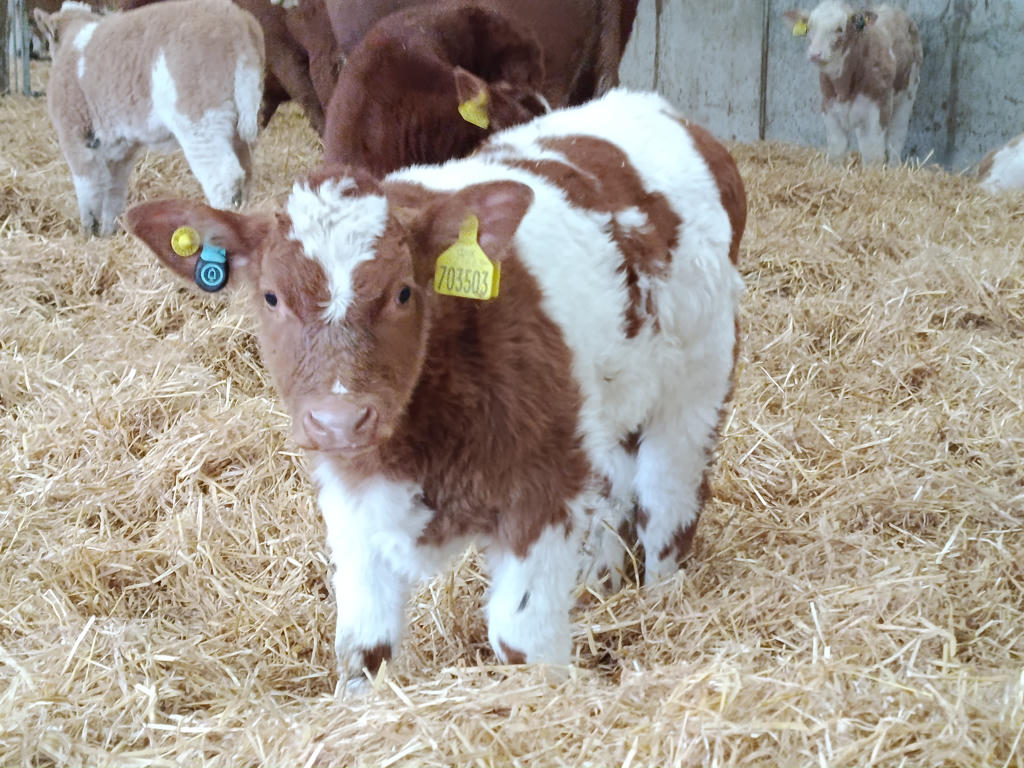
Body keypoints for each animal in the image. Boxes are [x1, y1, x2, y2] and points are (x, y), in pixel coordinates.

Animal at [35, 0, 264, 236]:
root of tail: (238, 22)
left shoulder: (76, 137)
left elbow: (88, 186)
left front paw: (90, 231)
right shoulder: (120, 149)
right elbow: (113, 189)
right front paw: (109, 232)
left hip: (200, 120)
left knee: (224, 176)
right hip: (237, 123)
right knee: (245, 173)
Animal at [124, 89, 745, 684]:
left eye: (403, 292)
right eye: (272, 297)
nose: (340, 420)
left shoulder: (545, 487)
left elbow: (522, 640)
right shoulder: (352, 498)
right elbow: (364, 648)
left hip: (697, 382)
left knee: (668, 502)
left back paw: (661, 599)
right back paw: (602, 584)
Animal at [784, 2, 922, 165]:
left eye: (839, 29)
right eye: (810, 27)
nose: (815, 54)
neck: (843, 86)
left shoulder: (878, 110)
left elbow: (873, 155)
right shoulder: (829, 107)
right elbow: (837, 150)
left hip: (907, 95)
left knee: (896, 137)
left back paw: (894, 165)